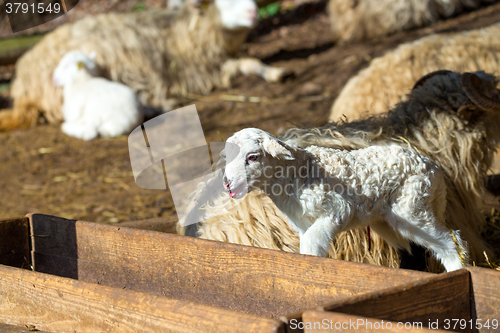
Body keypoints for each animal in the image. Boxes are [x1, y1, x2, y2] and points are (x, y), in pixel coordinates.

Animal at [0, 0, 290, 132]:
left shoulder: (213, 64)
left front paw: (277, 72)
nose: (254, 13)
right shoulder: (202, 68)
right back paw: (161, 104)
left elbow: (250, 61)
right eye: (225, 2)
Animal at [224, 128, 468, 272]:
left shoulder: (337, 208)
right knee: (414, 250)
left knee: (449, 240)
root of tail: (433, 168)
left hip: (412, 206)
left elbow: (312, 242)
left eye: (252, 157)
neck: (295, 173)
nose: (227, 183)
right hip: (387, 218)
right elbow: (306, 241)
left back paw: (458, 271)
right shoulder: (302, 222)